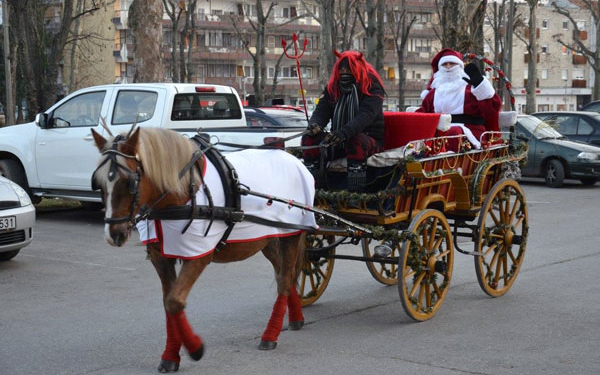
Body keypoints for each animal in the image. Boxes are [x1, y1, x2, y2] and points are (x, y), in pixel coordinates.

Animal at [92, 129, 314, 374]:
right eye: (98, 183)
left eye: (129, 182)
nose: (114, 234)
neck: (180, 193)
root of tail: (293, 159)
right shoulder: (161, 258)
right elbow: (168, 304)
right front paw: (171, 355)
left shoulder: (198, 255)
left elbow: (174, 301)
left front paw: (195, 348)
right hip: (267, 239)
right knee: (284, 273)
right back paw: (295, 317)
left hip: (292, 234)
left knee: (284, 280)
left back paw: (270, 334)